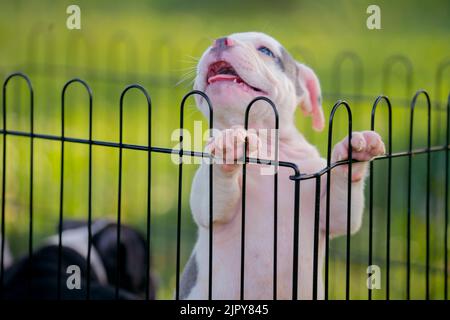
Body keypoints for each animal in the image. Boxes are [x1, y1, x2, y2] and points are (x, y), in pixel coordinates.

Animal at [181, 31, 384, 298]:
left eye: (266, 51)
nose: (220, 41)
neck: (268, 145)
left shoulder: (331, 212)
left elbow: (341, 212)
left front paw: (355, 151)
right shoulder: (210, 204)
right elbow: (211, 199)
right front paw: (229, 145)